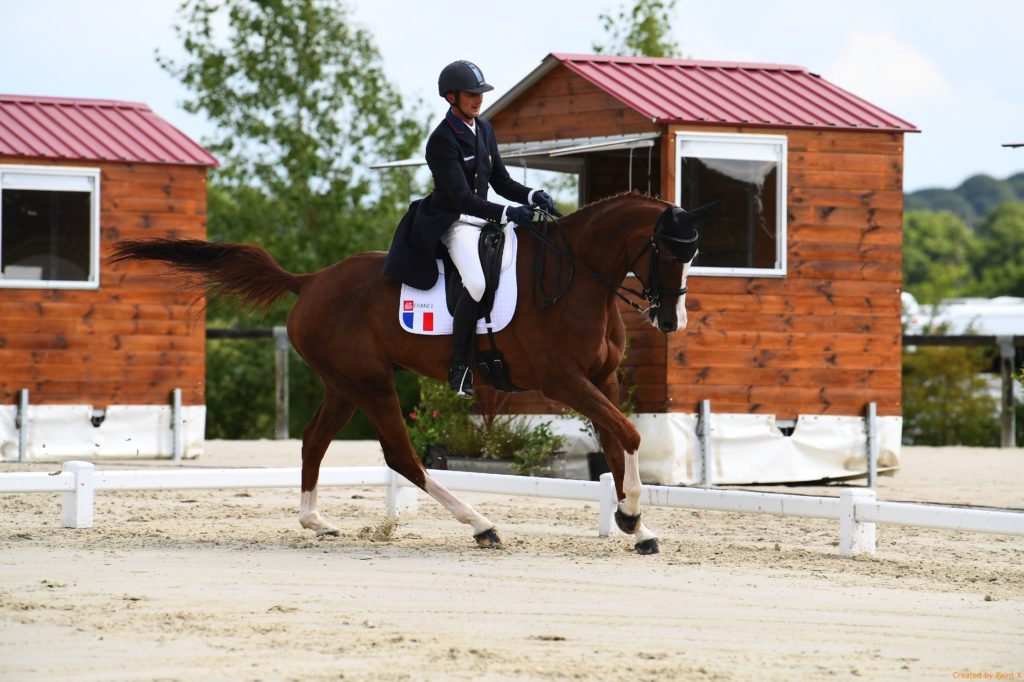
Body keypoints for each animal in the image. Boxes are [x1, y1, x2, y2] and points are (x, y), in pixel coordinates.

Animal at [112, 191, 704, 552]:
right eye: (665, 252)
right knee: (400, 456)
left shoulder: (600, 381)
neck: (576, 278)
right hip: (371, 383)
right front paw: (630, 515)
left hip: (345, 386)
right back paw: (481, 524)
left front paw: (636, 526)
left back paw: (316, 521)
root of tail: (310, 281)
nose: (670, 320)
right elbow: (628, 435)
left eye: (694, 255)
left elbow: (616, 443)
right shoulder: (563, 381)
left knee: (314, 441)